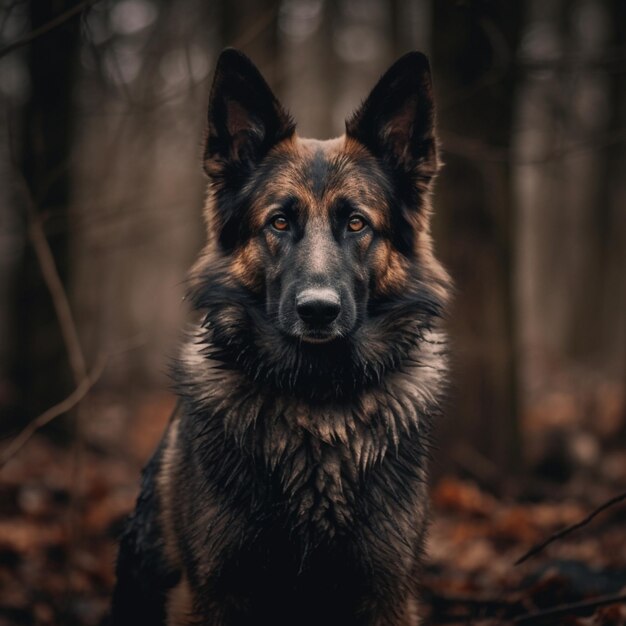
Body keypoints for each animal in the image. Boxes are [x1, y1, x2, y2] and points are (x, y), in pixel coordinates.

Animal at [109, 48, 446, 624]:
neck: (317, 408)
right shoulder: (213, 593)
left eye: (357, 223)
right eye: (280, 222)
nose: (318, 311)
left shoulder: (385, 593)